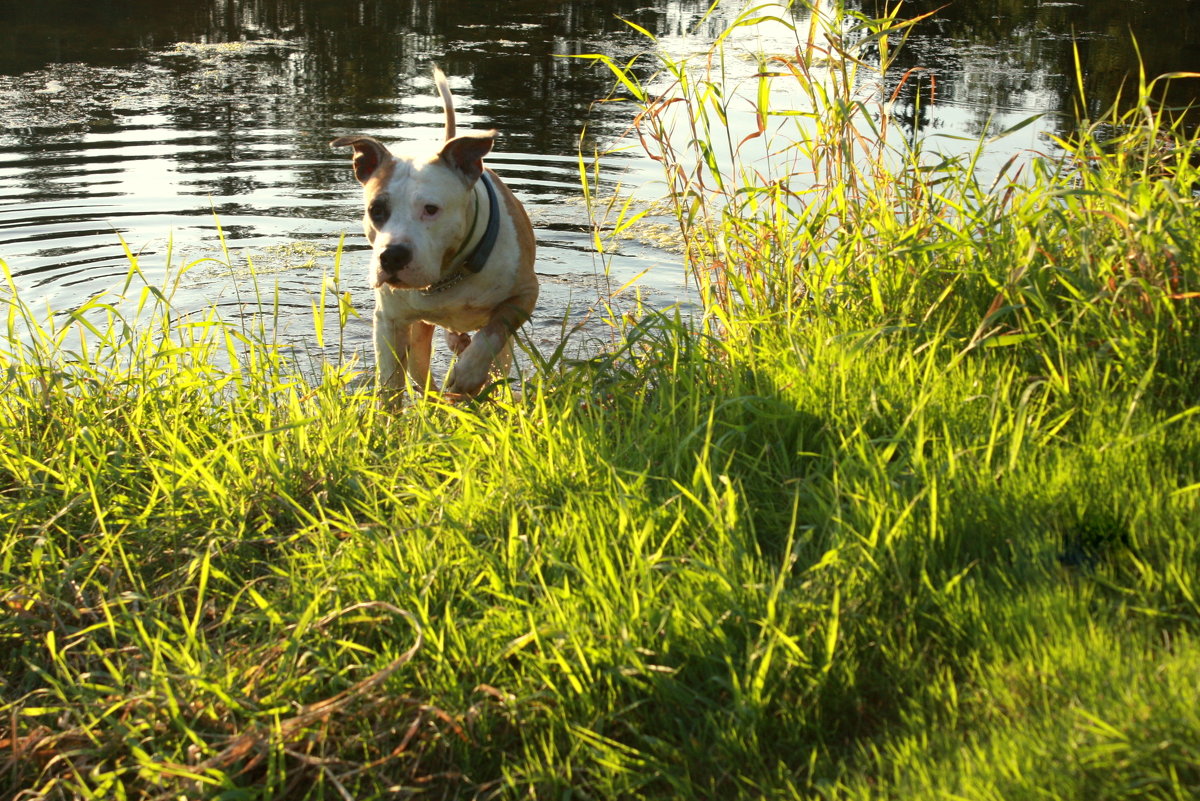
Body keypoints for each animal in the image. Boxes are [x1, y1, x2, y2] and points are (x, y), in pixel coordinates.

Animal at [328, 66, 535, 398]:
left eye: (431, 209)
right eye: (376, 210)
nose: (392, 256)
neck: (448, 276)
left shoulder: (524, 294)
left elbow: (492, 334)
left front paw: (468, 373)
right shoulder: (390, 321)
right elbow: (391, 384)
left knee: (498, 356)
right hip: (419, 333)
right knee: (421, 369)